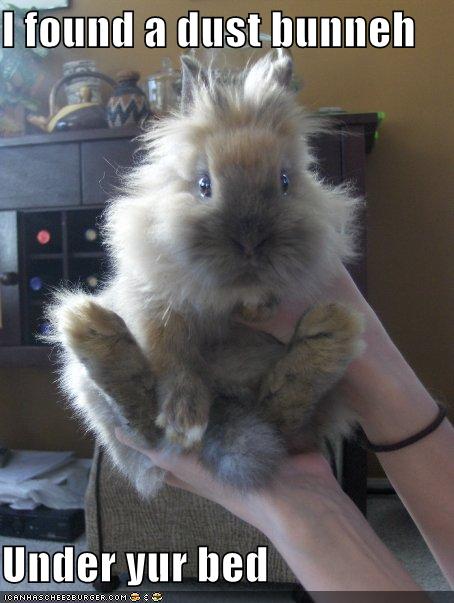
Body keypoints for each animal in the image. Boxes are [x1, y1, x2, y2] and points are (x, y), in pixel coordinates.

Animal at [48, 49, 364, 498]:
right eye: (203, 185)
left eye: (286, 181)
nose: (250, 242)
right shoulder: (154, 304)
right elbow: (172, 357)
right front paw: (184, 420)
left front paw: (258, 304)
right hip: (92, 393)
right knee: (142, 423)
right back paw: (93, 330)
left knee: (284, 421)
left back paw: (329, 335)